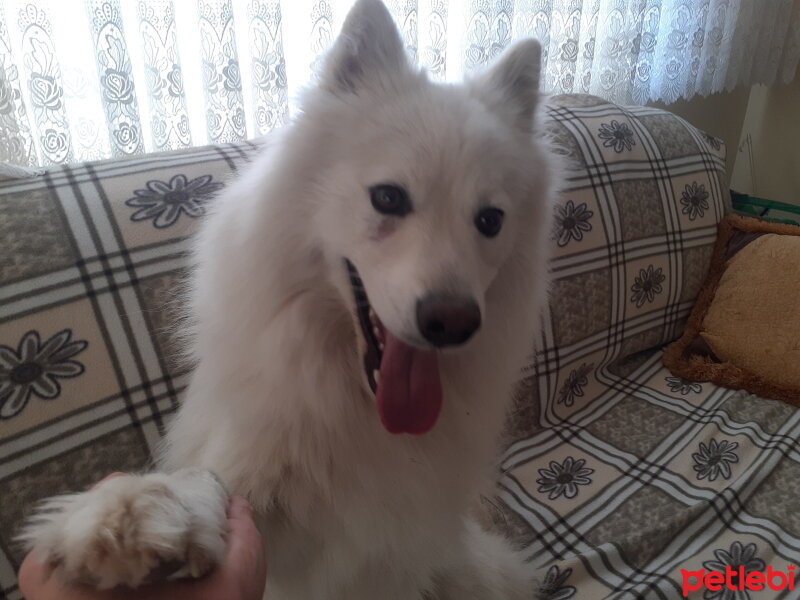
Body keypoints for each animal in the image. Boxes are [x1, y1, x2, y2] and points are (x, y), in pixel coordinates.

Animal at [20, 1, 556, 596]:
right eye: (388, 198)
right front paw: (142, 511)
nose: (453, 323)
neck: (357, 402)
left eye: (490, 221)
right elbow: (212, 481)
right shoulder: (266, 494)